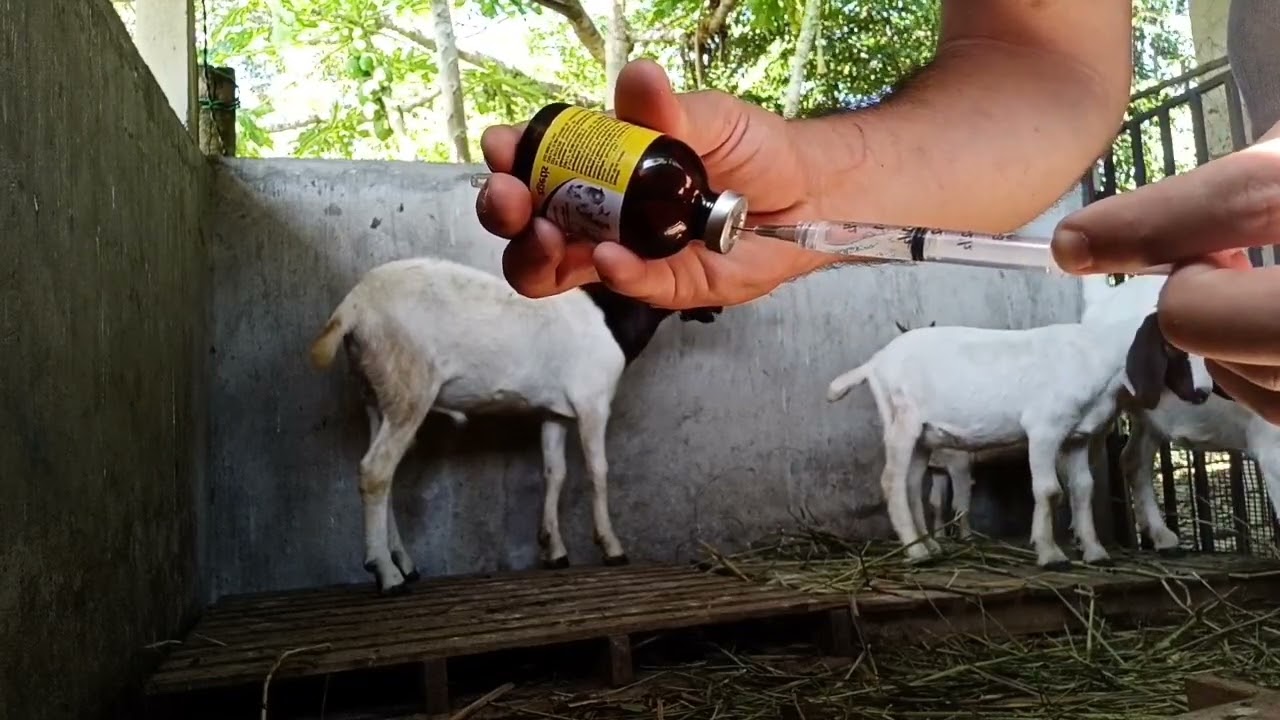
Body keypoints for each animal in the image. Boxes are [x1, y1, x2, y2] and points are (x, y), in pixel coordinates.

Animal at [308, 256, 721, 594]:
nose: (714, 305)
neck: (611, 319)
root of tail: (354, 307)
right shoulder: (593, 401)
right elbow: (597, 470)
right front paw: (611, 547)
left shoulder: (555, 412)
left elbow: (555, 472)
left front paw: (554, 549)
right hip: (407, 382)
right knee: (376, 470)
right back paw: (387, 574)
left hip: (376, 394)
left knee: (384, 474)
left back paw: (404, 564)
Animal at [827, 311, 1211, 568]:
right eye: (1172, 348)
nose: (1205, 392)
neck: (1095, 360)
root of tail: (874, 363)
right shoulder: (1044, 429)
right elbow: (1049, 490)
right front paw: (1051, 554)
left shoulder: (1077, 437)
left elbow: (1082, 489)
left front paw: (1095, 552)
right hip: (901, 420)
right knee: (892, 481)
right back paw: (917, 552)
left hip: (923, 435)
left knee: (910, 484)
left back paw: (930, 546)